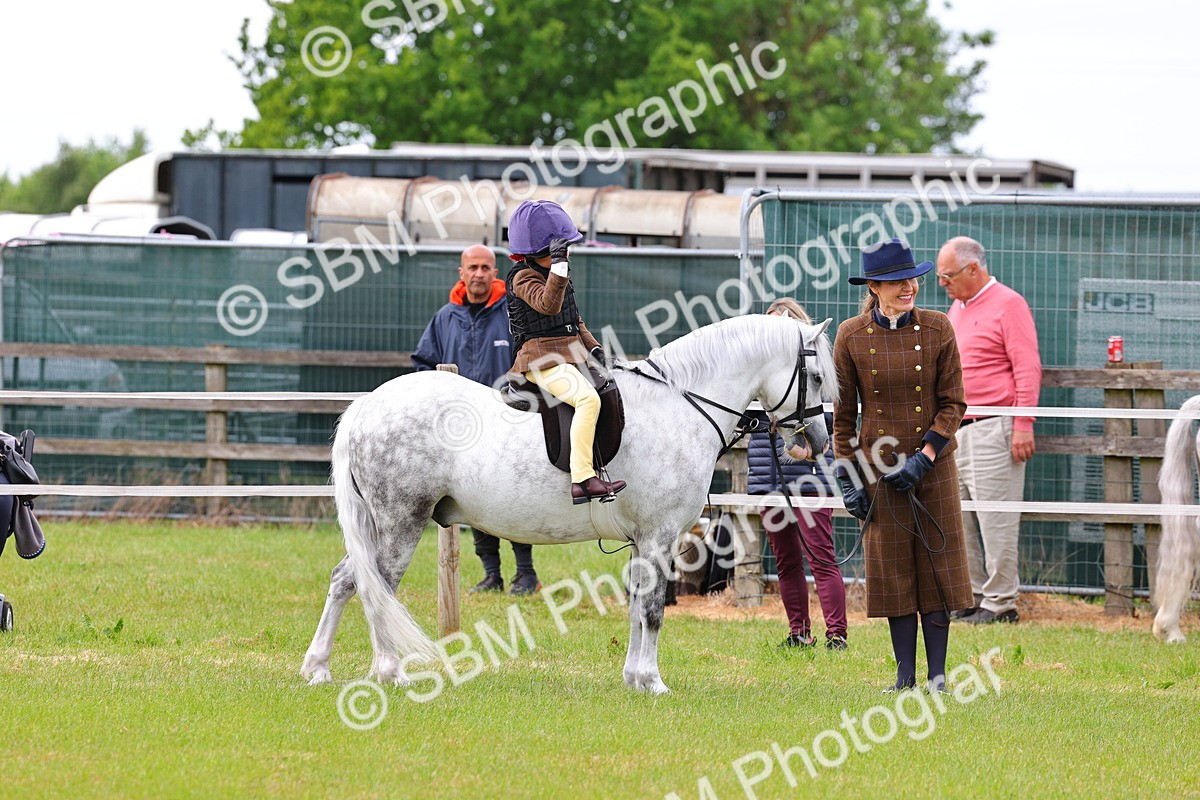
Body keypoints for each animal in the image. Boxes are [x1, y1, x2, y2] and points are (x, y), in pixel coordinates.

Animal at [300, 313, 837, 694]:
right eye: (813, 375)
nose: (817, 440)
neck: (680, 405)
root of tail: (368, 404)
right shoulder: (660, 535)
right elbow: (654, 609)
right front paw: (654, 682)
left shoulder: (643, 541)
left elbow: (637, 606)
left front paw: (633, 678)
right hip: (400, 522)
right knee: (376, 588)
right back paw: (390, 672)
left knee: (346, 580)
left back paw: (318, 668)